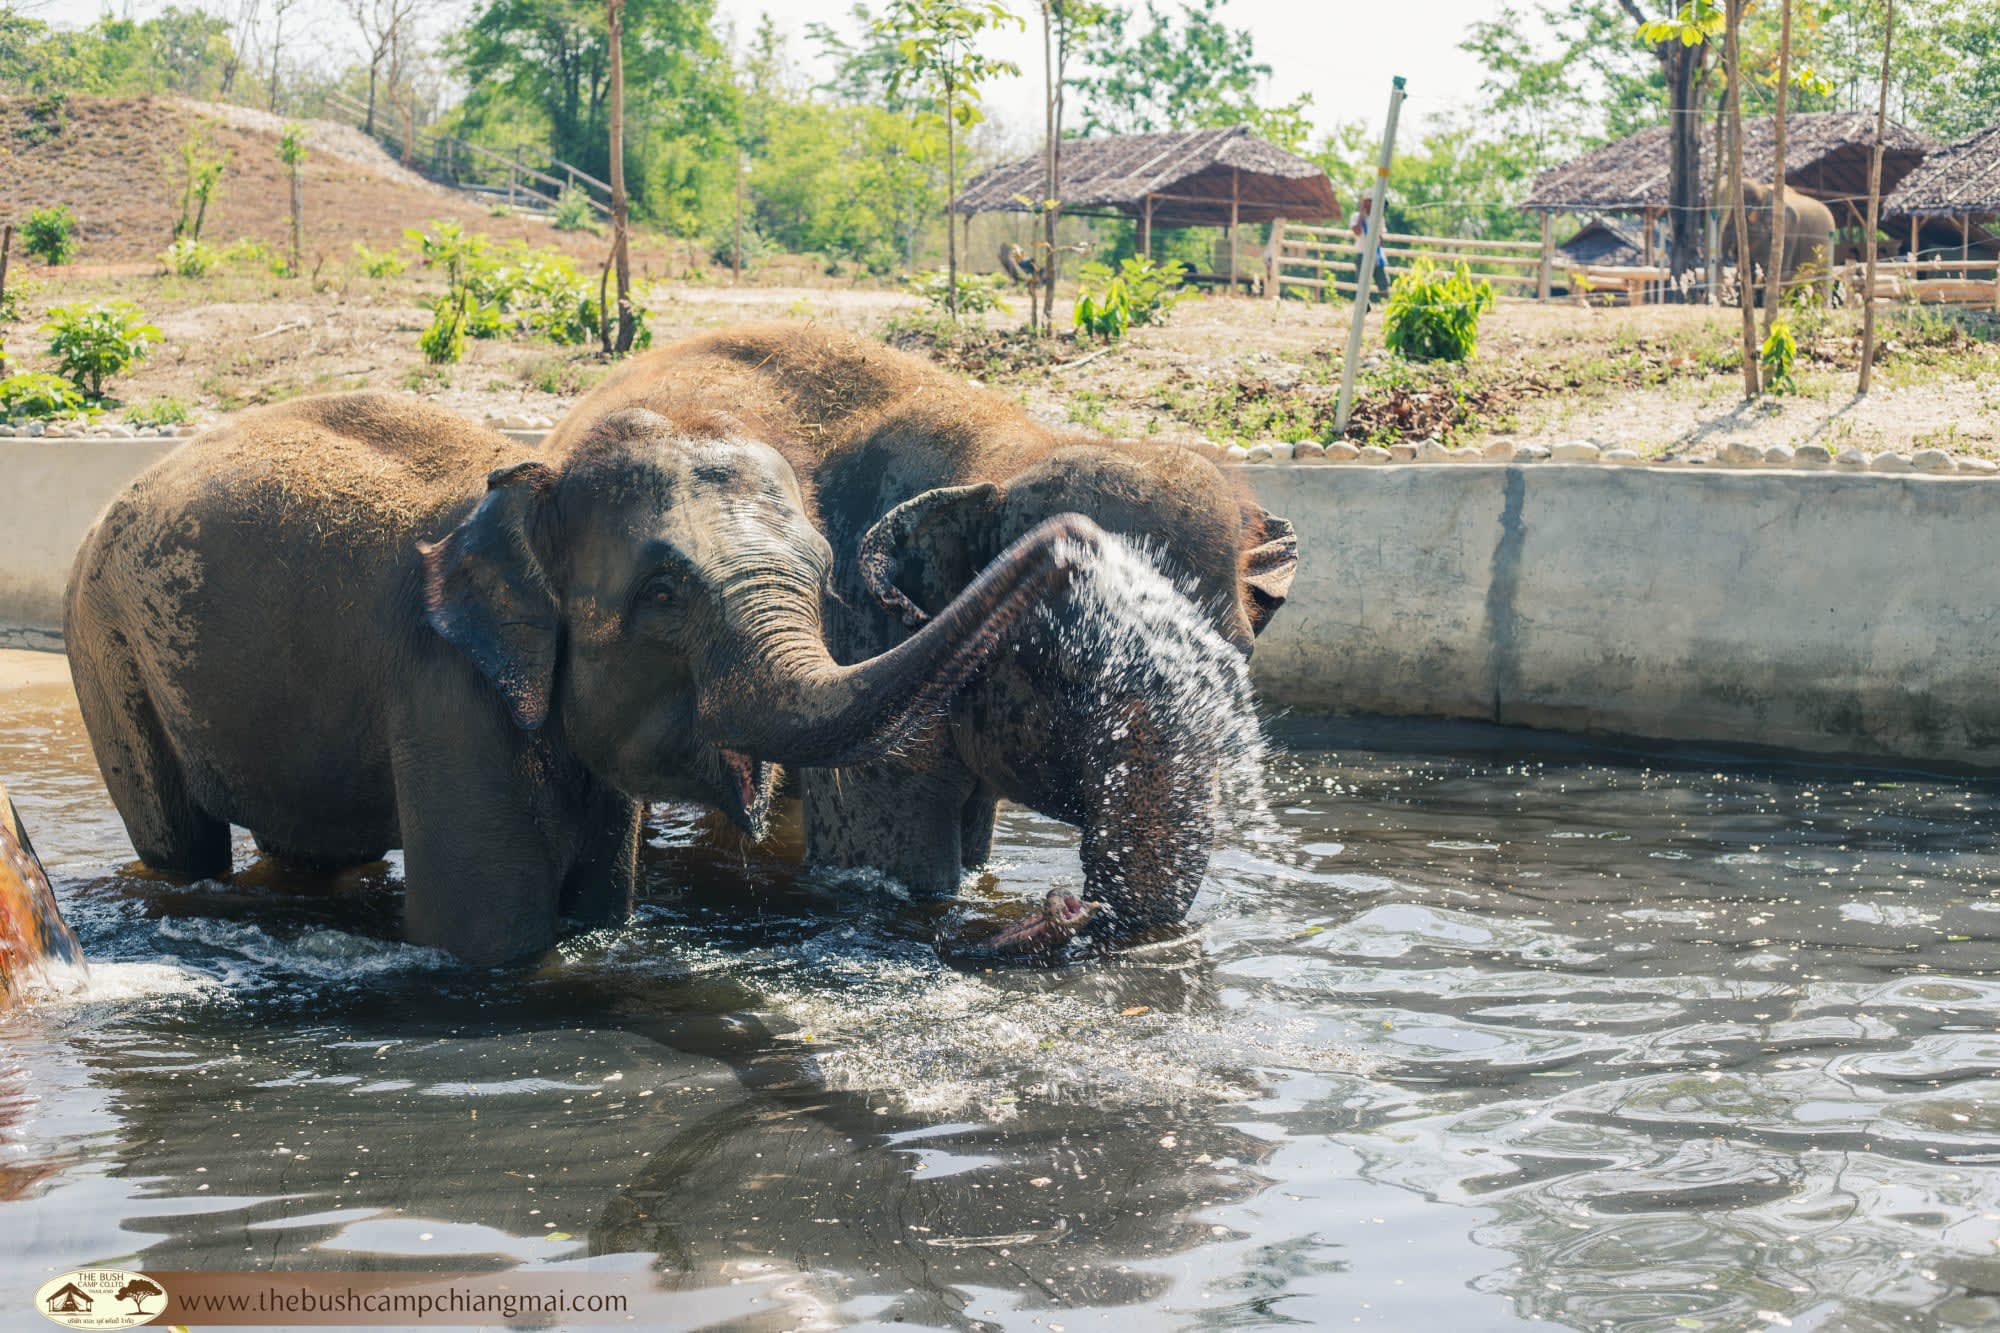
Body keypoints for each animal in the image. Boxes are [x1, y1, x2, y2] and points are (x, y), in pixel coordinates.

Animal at [64, 392, 1105, 965]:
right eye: (662, 594)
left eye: (820, 572)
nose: (1071, 543)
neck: (535, 474)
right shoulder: (443, 686)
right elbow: (492, 937)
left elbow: (605, 906)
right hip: (105, 647)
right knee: (178, 844)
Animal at [546, 323, 1298, 955]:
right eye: (1066, 660)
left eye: (1237, 663)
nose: (1059, 906)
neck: (1012, 445)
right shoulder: (862, 635)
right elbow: (894, 851)